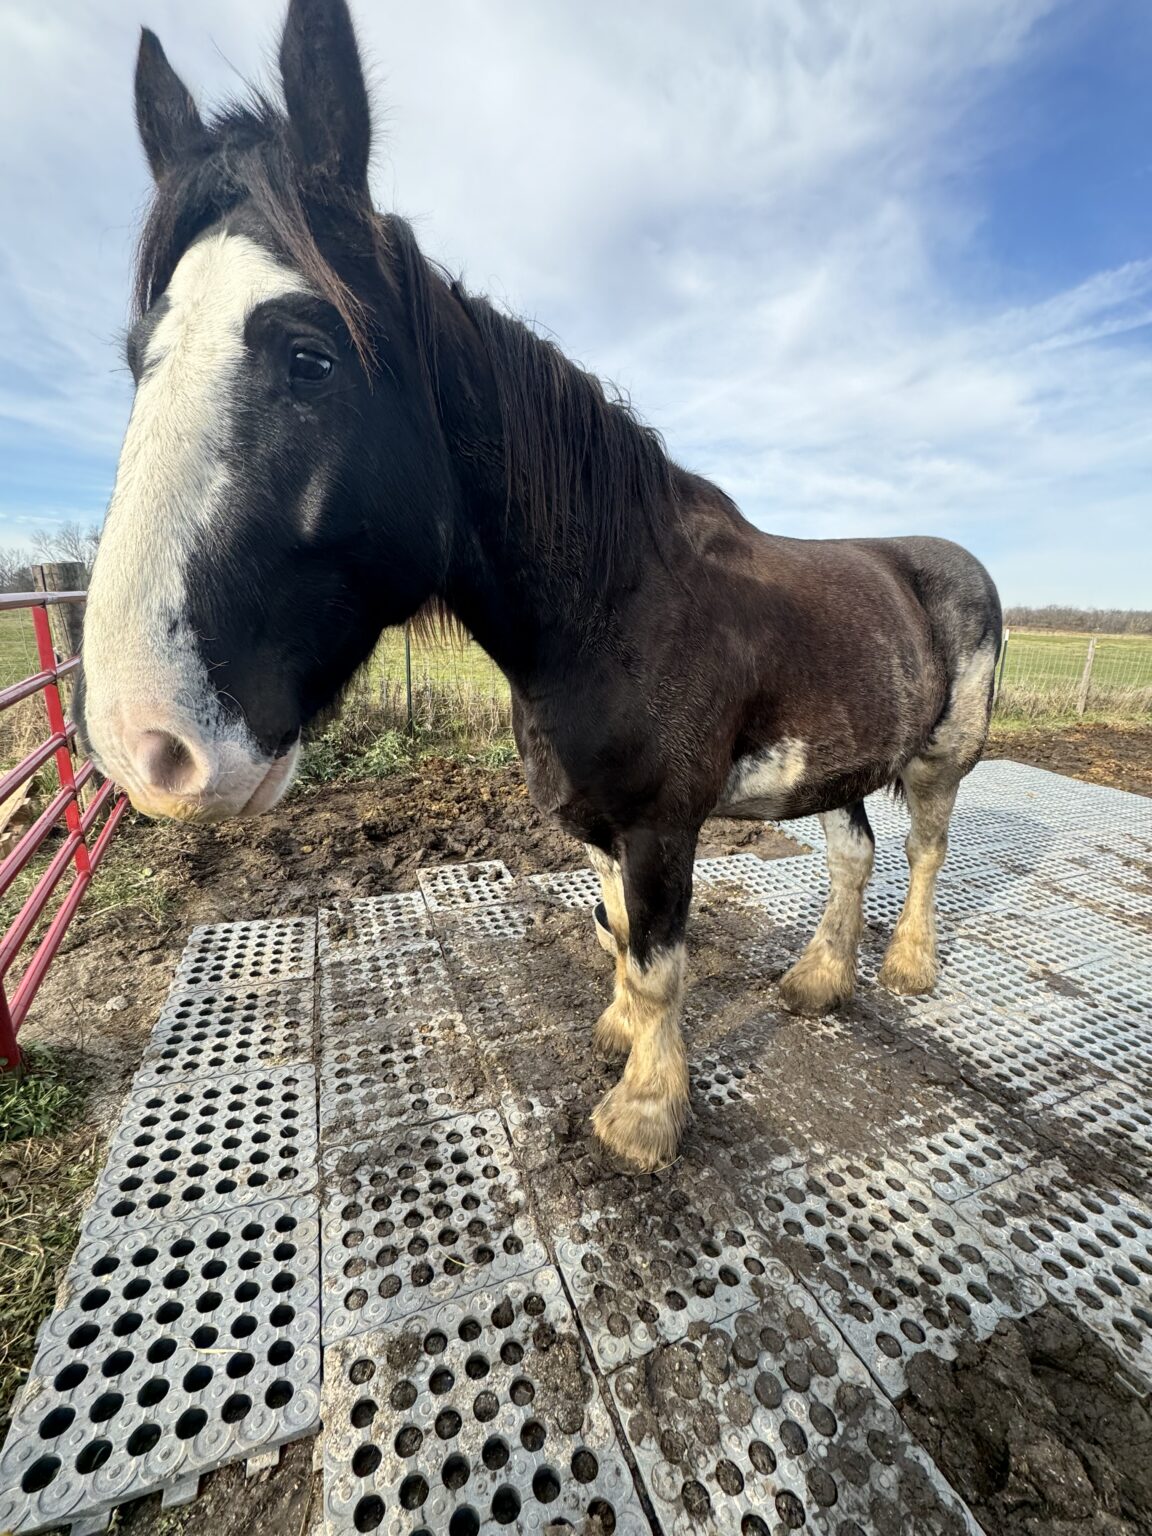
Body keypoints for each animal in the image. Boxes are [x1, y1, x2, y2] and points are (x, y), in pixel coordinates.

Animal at [79, 0, 1001, 1173]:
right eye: (136, 359)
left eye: (311, 356)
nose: (144, 744)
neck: (612, 607)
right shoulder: (603, 822)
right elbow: (619, 938)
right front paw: (617, 1037)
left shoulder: (663, 824)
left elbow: (660, 958)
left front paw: (643, 1116)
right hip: (839, 756)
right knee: (853, 852)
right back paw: (819, 982)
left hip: (941, 754)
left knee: (925, 844)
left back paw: (910, 967)